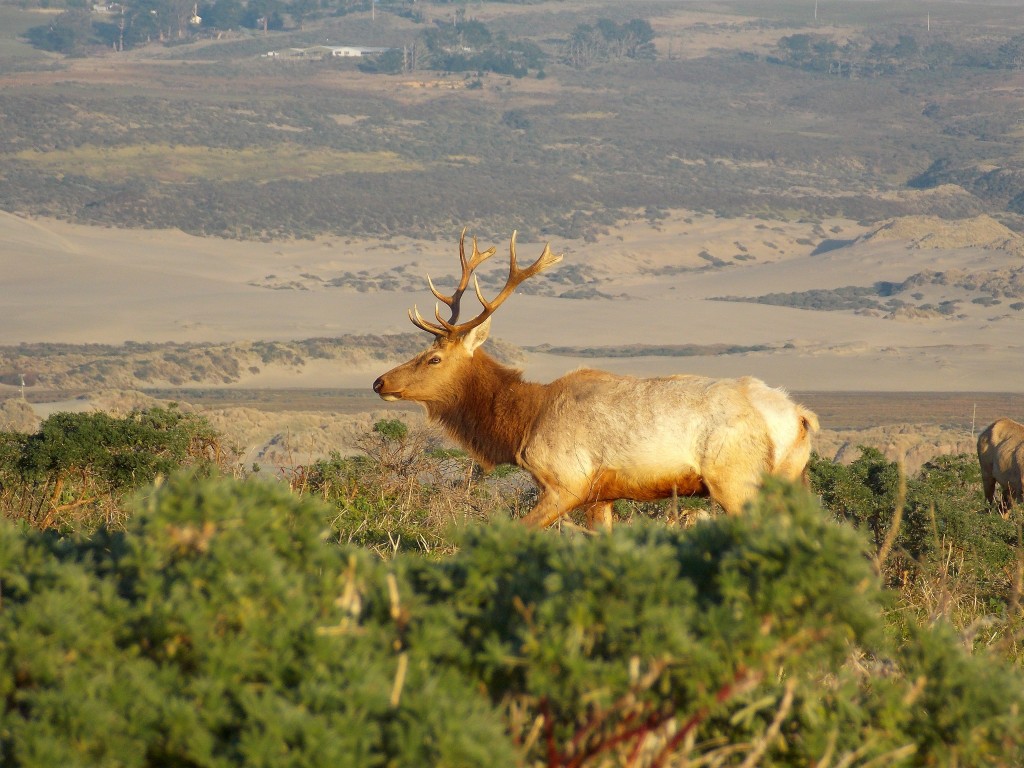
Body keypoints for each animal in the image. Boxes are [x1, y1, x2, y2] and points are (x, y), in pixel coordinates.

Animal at [372, 228, 819, 528]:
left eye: (433, 358)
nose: (380, 382)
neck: (522, 423)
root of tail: (799, 416)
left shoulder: (566, 481)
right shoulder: (601, 496)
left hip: (736, 479)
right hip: (791, 477)